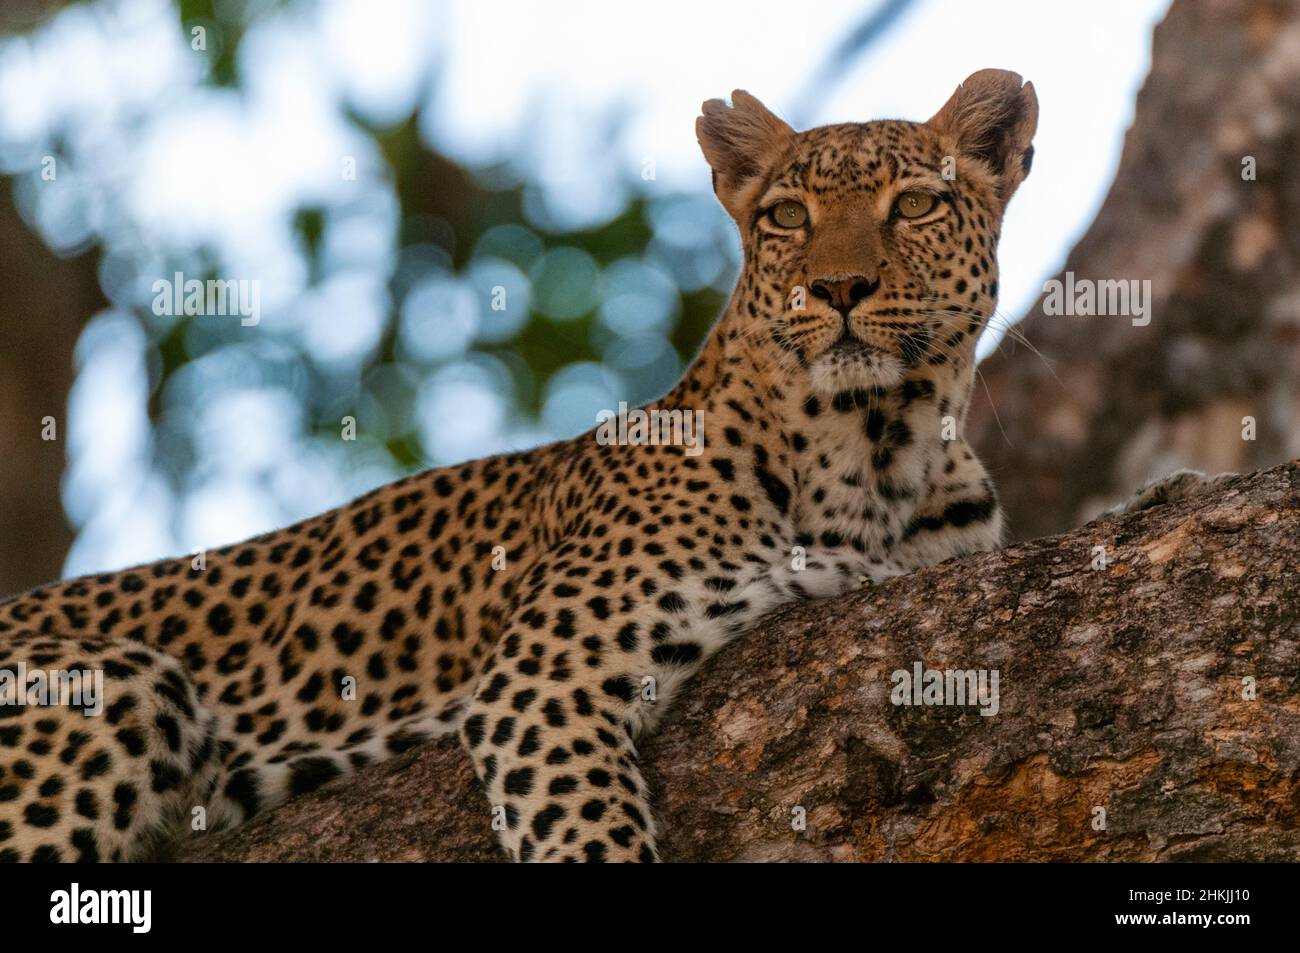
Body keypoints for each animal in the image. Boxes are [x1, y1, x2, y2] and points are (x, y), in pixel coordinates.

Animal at [0, 69, 1225, 863]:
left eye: (915, 203)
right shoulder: (542, 676)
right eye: (788, 215)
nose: (835, 288)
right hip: (108, 691)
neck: (877, 450)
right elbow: (586, 831)